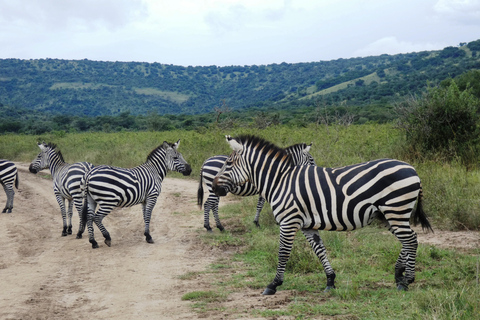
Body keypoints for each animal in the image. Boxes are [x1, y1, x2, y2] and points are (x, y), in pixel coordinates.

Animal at [212, 134, 434, 296]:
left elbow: (283, 252)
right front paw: (330, 281)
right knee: (408, 240)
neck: (280, 181)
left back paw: (407, 280)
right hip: (389, 213)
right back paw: (398, 274)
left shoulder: (288, 221)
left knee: (411, 240)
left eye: (229, 163)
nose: (214, 187)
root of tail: (412, 169)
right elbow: (320, 250)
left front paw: (273, 284)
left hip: (396, 209)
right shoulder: (307, 225)